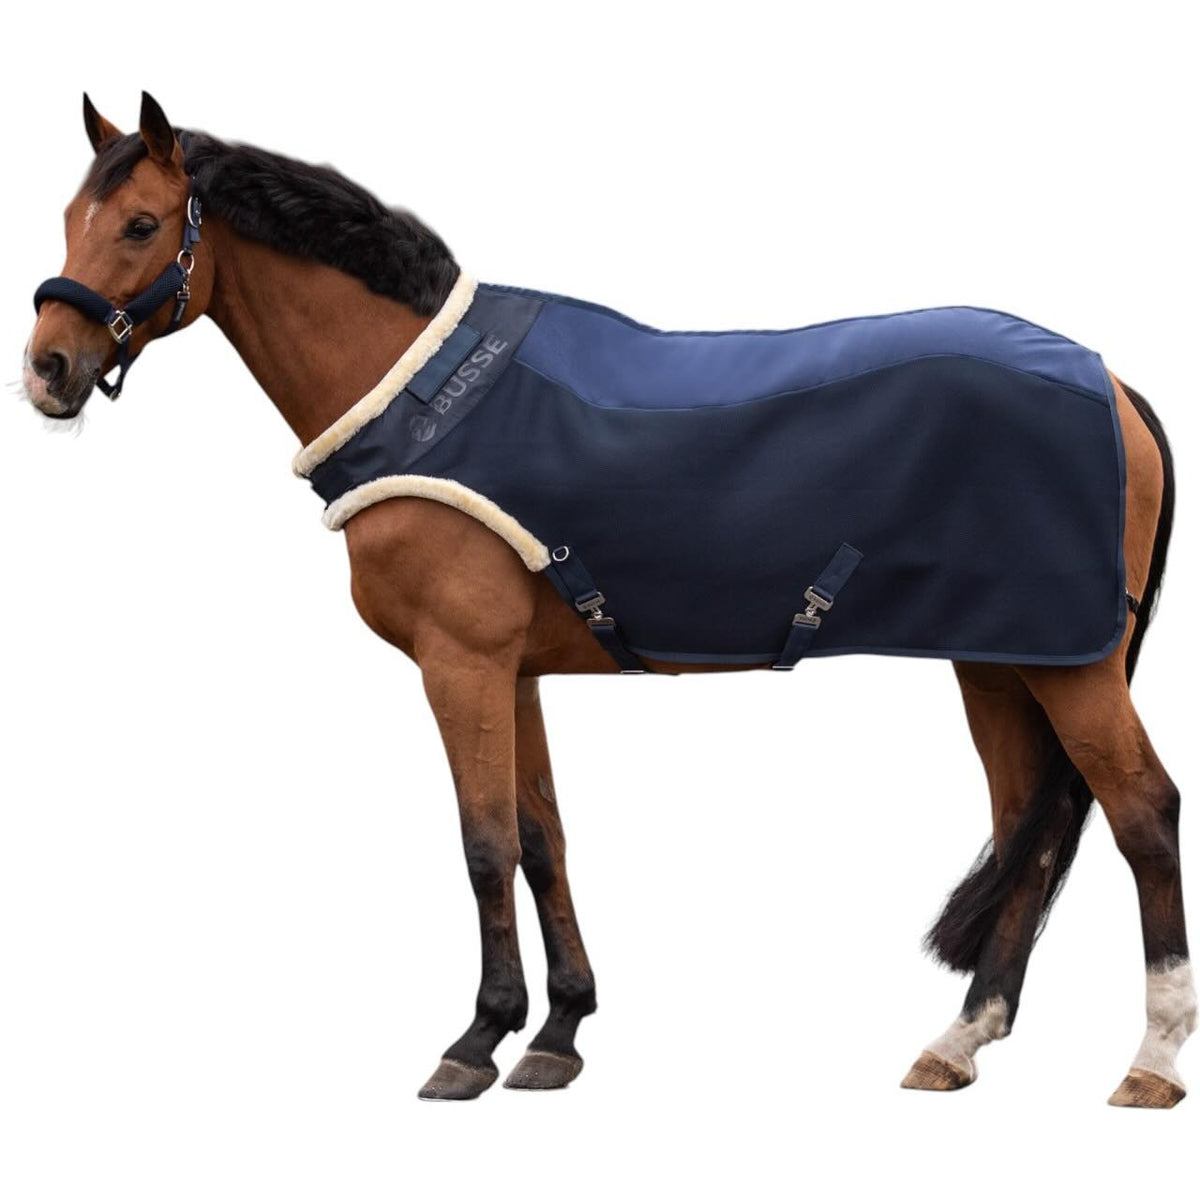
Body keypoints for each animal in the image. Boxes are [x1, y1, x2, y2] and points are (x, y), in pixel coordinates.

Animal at [21, 92, 1192, 1107]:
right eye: (72, 219)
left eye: (140, 224)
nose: (48, 369)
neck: (421, 391)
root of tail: (1111, 382)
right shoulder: (513, 670)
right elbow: (542, 838)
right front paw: (558, 1034)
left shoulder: (459, 662)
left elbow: (484, 843)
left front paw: (475, 1040)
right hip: (1002, 660)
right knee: (1031, 823)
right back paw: (959, 1041)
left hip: (1070, 668)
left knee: (1142, 812)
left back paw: (1151, 1061)